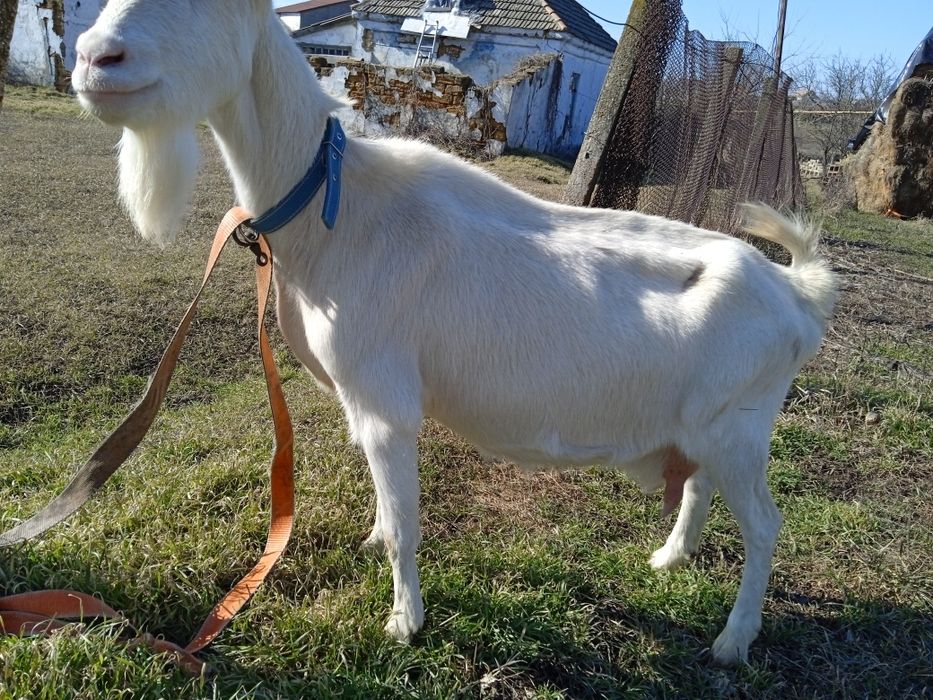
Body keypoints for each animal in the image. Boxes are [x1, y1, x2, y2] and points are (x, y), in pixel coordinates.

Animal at [71, 0, 836, 664]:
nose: (93, 58)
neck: (334, 207)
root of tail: (794, 294)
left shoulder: (385, 400)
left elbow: (407, 522)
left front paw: (403, 621)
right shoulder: (359, 398)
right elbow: (387, 507)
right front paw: (373, 542)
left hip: (740, 425)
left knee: (764, 525)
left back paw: (733, 641)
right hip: (705, 423)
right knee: (700, 484)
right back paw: (670, 558)